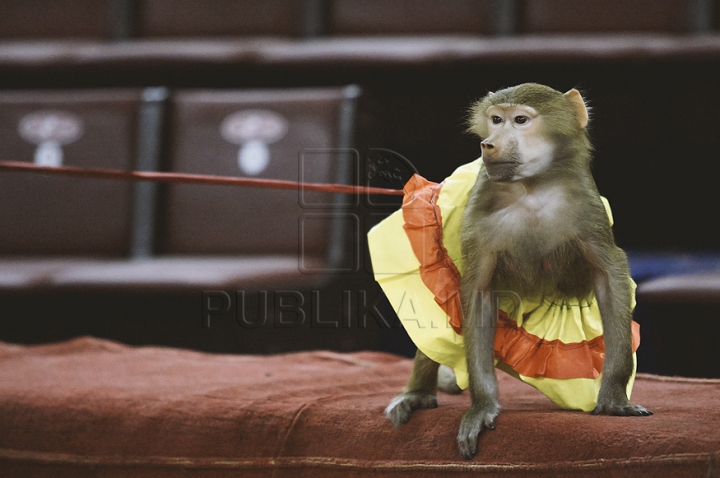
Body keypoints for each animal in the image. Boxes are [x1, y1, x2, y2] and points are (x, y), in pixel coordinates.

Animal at [382, 82, 652, 460]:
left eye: (520, 120)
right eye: (496, 119)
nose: (488, 143)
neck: (532, 189)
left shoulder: (586, 207)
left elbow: (610, 276)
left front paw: (614, 396)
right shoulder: (479, 212)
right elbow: (477, 293)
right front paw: (482, 406)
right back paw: (418, 394)